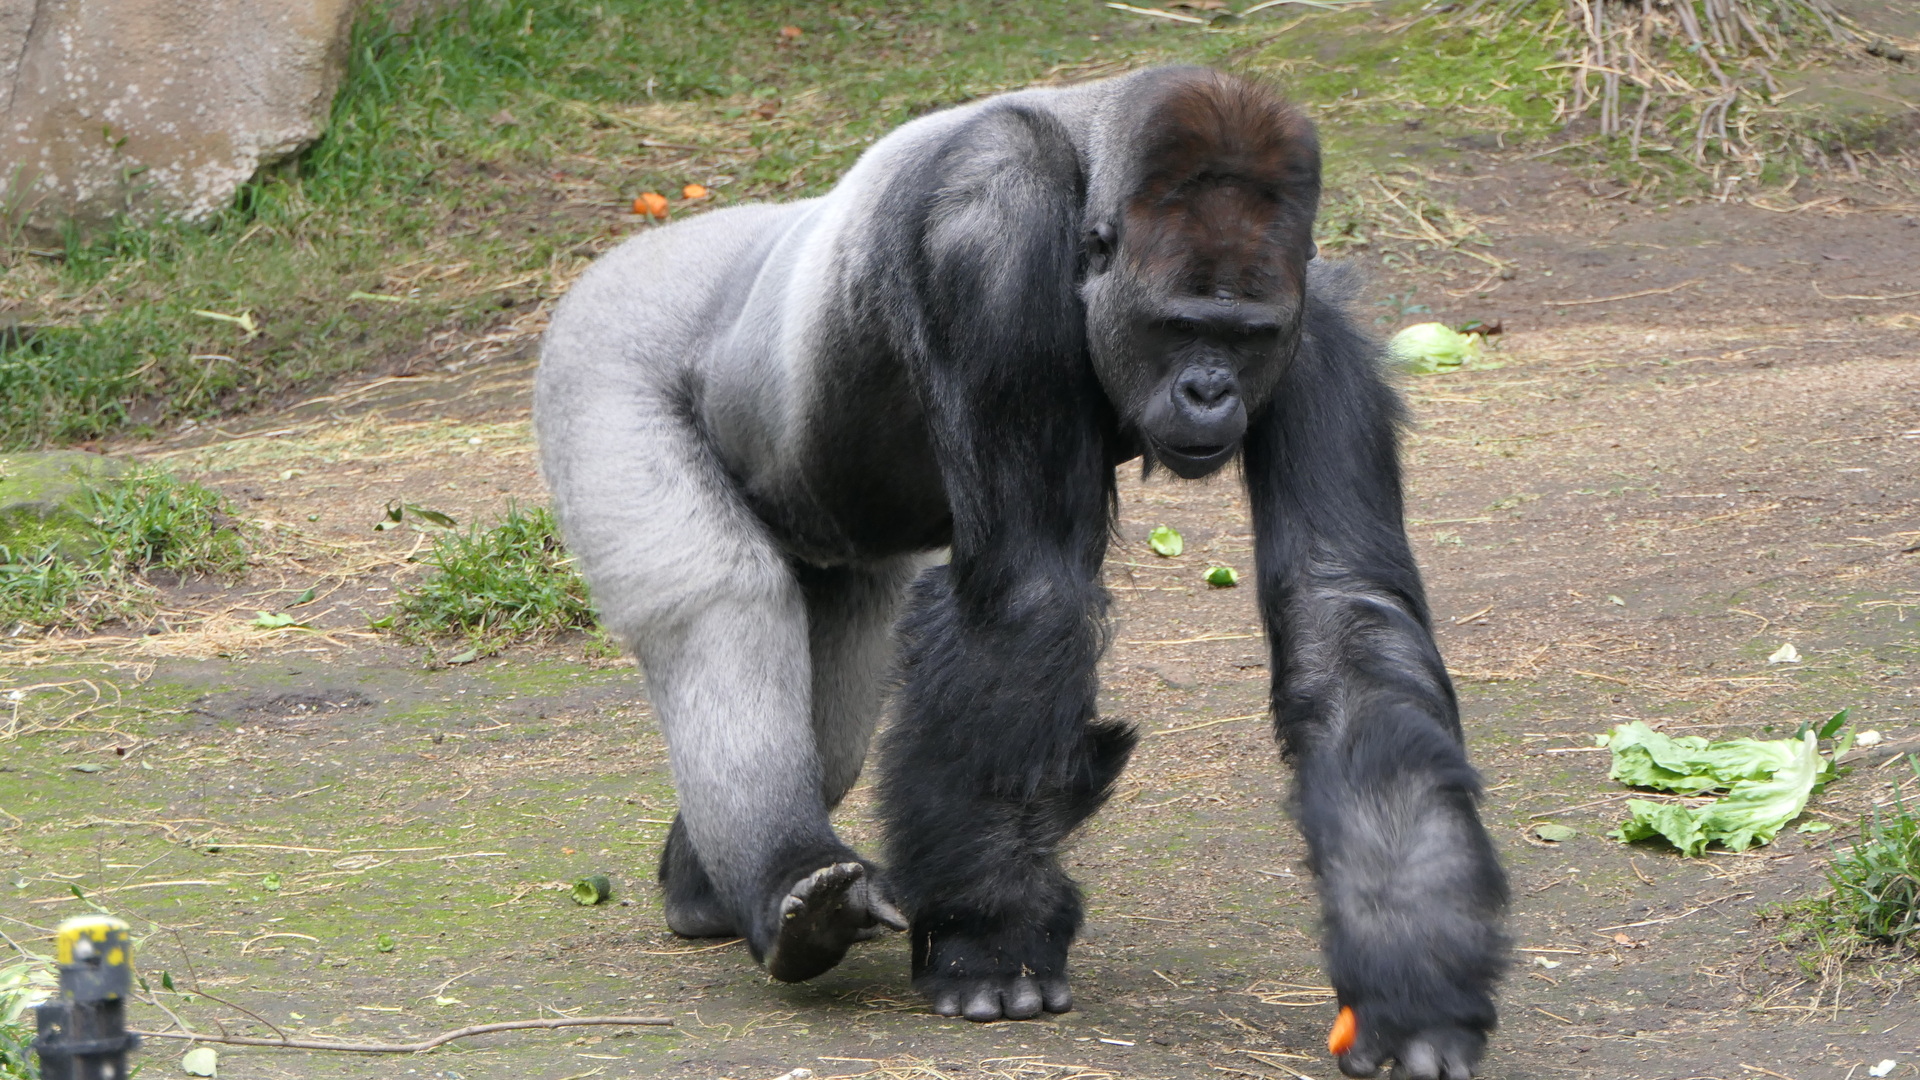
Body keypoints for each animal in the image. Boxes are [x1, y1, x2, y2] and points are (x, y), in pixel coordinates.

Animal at [534, 66, 1507, 1080]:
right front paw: (989, 936)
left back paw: (707, 887)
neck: (1091, 166)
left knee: (829, 712)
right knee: (718, 608)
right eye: (1179, 327)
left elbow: (1341, 618)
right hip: (606, 338)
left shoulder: (1312, 329)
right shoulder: (993, 229)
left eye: (1244, 336)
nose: (1210, 391)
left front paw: (1413, 971)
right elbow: (1029, 592)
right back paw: (779, 879)